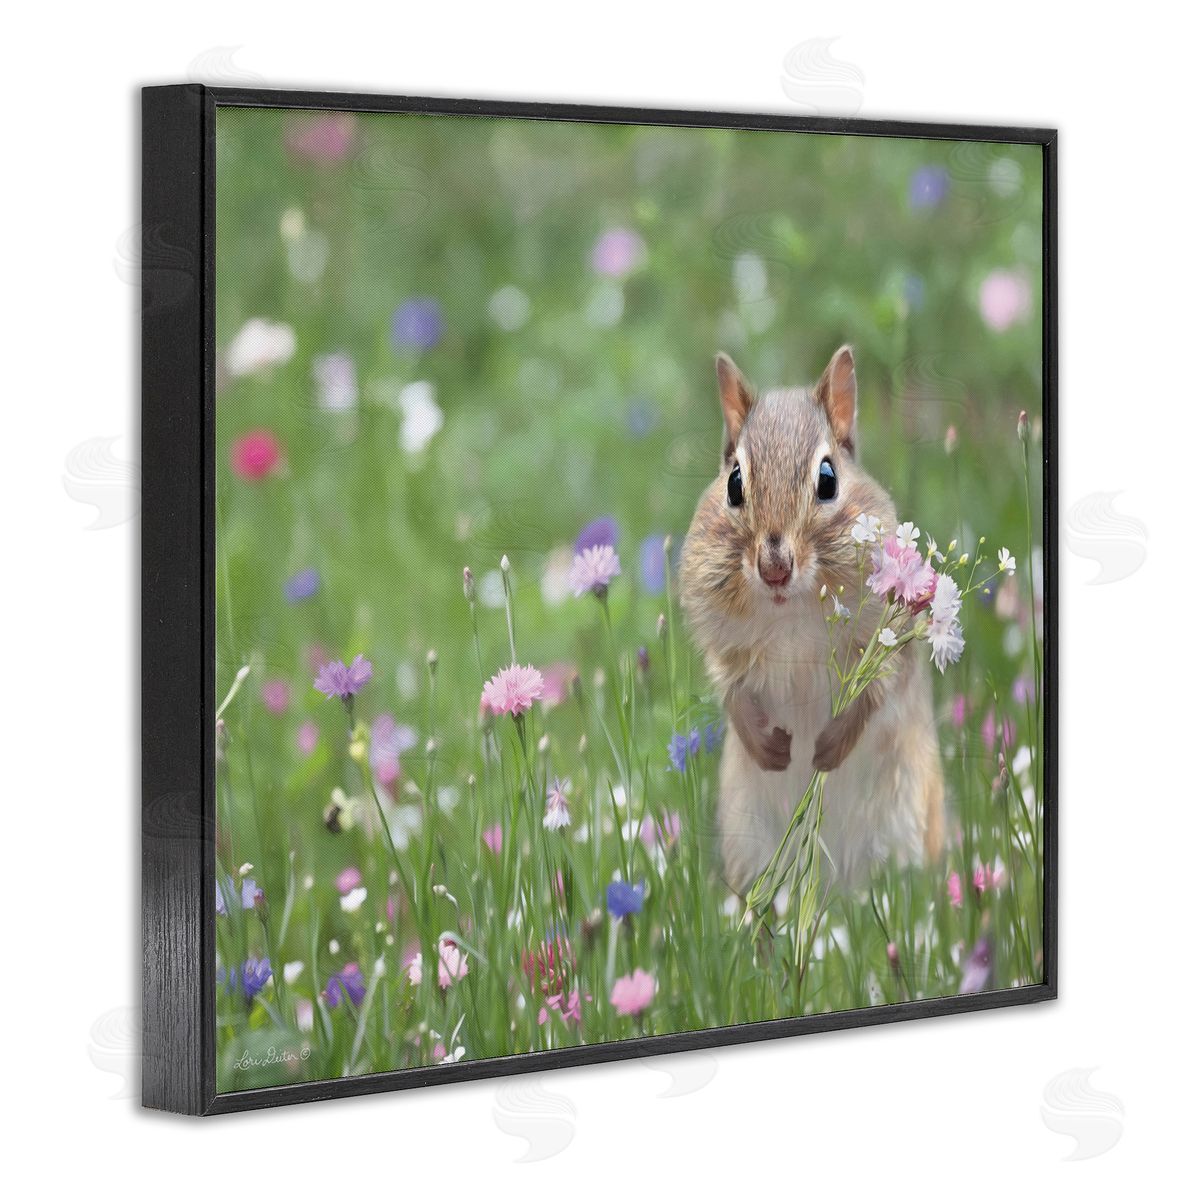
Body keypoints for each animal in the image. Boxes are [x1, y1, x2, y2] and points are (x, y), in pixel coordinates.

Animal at [679, 346, 945, 896]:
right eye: (734, 483)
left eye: (828, 479)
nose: (774, 568)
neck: (792, 612)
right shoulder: (721, 640)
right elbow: (730, 688)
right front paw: (770, 749)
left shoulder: (886, 642)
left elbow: (876, 692)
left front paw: (826, 750)